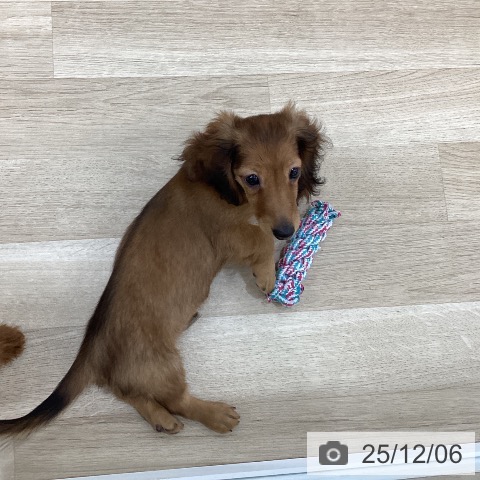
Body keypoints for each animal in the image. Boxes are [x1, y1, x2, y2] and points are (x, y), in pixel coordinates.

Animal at [0, 103, 326, 436]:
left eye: (294, 172)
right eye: (251, 179)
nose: (287, 231)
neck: (221, 189)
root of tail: (92, 348)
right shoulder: (227, 234)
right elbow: (261, 237)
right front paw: (267, 275)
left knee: (129, 392)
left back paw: (161, 420)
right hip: (163, 366)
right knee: (176, 400)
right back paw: (215, 414)